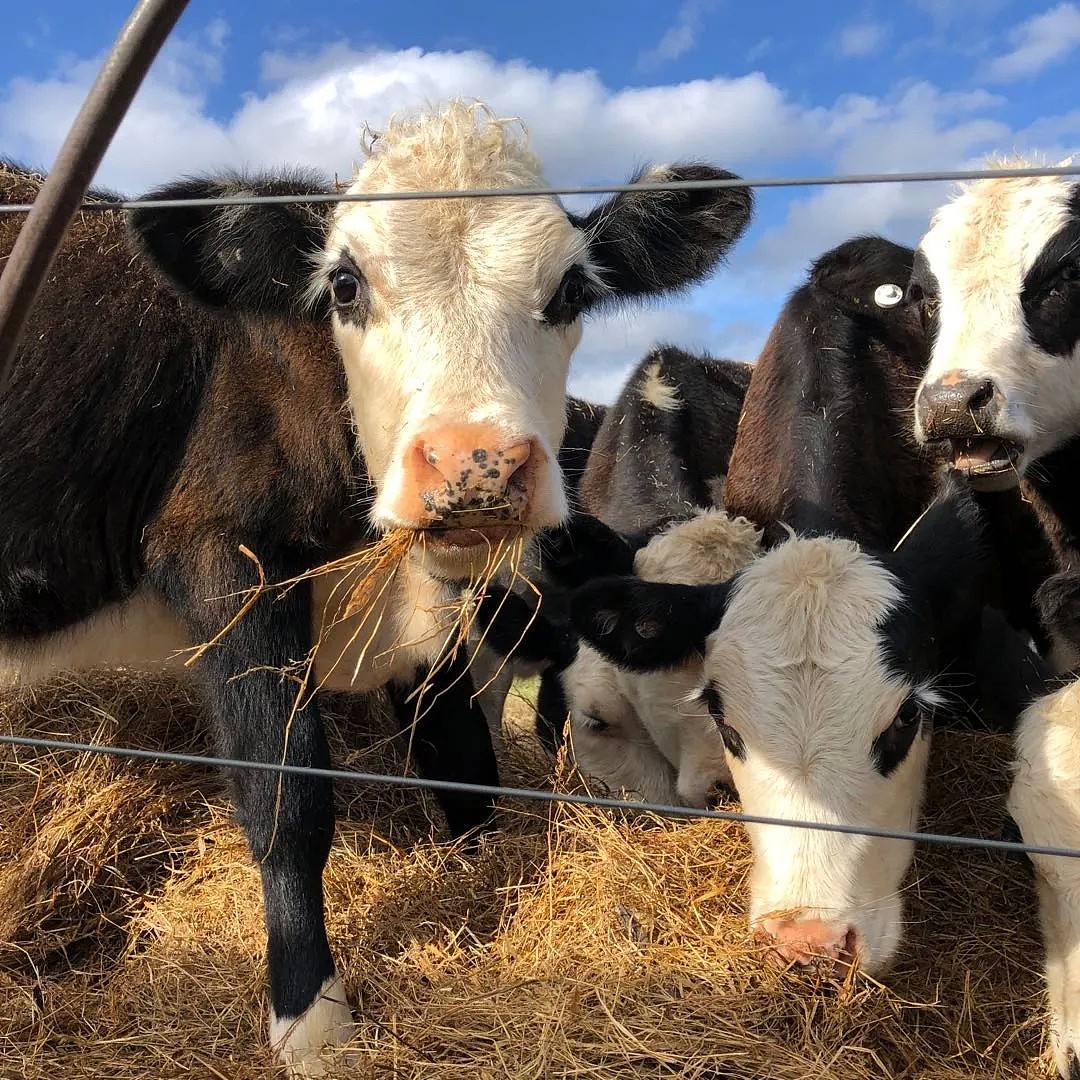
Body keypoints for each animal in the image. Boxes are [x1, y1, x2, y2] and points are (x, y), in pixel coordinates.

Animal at [0, 99, 756, 1071]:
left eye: (569, 293)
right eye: (346, 287)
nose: (476, 467)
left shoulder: (432, 622)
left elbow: (464, 767)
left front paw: (482, 887)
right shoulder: (220, 559)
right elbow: (287, 800)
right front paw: (312, 1020)